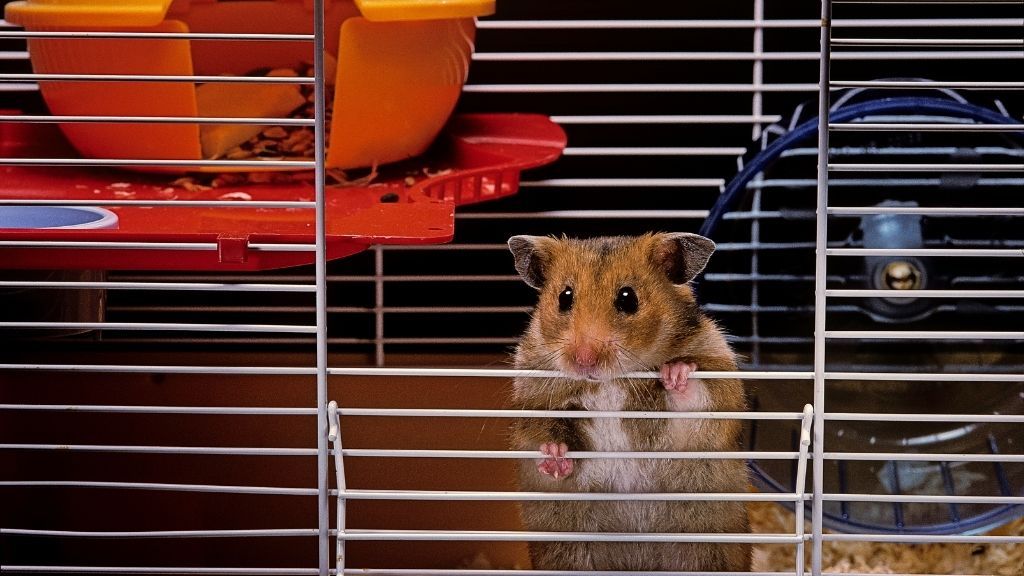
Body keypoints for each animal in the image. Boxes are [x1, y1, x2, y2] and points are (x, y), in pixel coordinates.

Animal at [507, 231, 749, 569]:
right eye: (564, 297)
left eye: (628, 298)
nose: (584, 360)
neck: (611, 383)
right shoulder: (532, 399)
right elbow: (545, 434)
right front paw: (555, 458)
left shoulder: (715, 392)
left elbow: (696, 398)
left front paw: (675, 373)